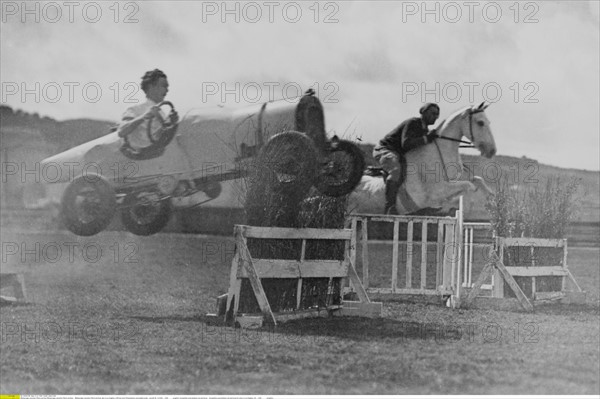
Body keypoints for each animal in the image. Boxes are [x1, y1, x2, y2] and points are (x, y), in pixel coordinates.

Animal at [346, 103, 496, 216]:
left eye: (489, 122)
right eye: (480, 123)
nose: (492, 151)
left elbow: (476, 180)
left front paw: (492, 199)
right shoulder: (437, 192)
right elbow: (468, 186)